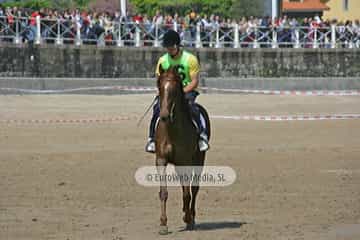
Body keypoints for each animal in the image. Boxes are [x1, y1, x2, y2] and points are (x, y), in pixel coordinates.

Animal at [155, 64, 211, 233]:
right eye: (159, 86)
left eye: (175, 89)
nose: (164, 115)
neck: (172, 130)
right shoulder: (161, 160)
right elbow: (163, 192)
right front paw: (163, 224)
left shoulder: (185, 160)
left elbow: (188, 193)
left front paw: (188, 218)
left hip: (198, 159)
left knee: (194, 188)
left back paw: (191, 216)